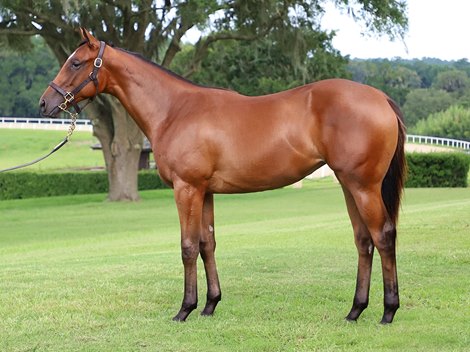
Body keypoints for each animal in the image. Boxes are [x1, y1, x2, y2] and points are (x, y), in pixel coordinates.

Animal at [40, 28, 406, 324]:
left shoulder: (186, 189)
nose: (45, 104)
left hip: (363, 187)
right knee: (363, 241)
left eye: (76, 63)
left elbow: (188, 246)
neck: (175, 110)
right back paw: (355, 310)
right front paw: (209, 305)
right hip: (348, 185)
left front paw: (185, 309)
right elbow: (207, 244)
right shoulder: (205, 192)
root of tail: (380, 98)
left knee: (383, 236)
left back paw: (388, 311)